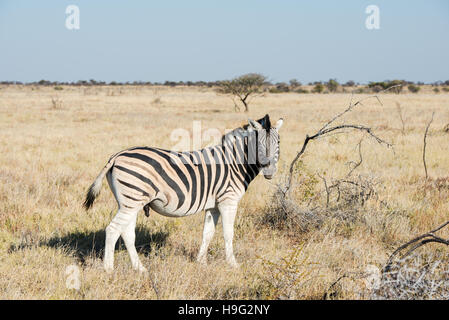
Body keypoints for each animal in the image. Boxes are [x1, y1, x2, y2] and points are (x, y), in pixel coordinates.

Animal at [82, 114, 282, 272]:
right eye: (258, 144)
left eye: (278, 142)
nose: (269, 171)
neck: (235, 163)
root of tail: (117, 155)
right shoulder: (228, 200)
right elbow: (228, 233)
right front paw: (233, 264)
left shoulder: (213, 205)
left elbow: (207, 233)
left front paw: (201, 262)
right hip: (132, 200)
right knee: (113, 229)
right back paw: (109, 269)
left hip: (130, 202)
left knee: (127, 233)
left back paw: (140, 268)